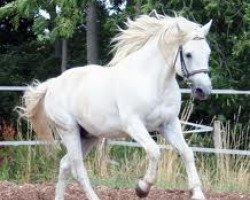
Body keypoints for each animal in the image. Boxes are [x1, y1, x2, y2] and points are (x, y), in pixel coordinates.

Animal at [20, 11, 213, 200]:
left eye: (208, 53)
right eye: (188, 54)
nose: (203, 90)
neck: (153, 81)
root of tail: (52, 84)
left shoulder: (169, 124)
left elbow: (187, 153)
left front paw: (197, 194)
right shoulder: (134, 124)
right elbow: (154, 151)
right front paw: (142, 188)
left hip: (89, 135)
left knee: (65, 165)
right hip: (69, 131)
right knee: (77, 168)